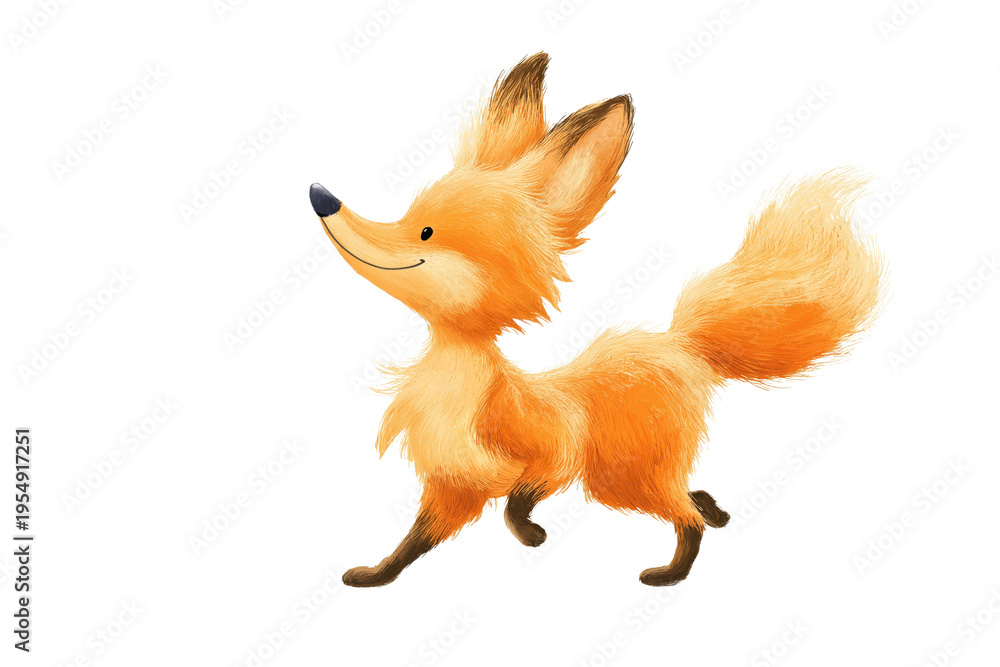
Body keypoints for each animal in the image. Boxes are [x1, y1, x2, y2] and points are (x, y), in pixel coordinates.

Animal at [309, 52, 884, 588]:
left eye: (425, 231)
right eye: (407, 216)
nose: (322, 198)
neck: (458, 386)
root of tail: (681, 344)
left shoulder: (549, 452)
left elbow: (522, 495)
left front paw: (528, 532)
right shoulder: (451, 487)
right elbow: (412, 544)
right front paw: (375, 575)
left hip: (621, 480)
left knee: (686, 517)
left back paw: (670, 572)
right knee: (692, 497)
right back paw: (715, 510)